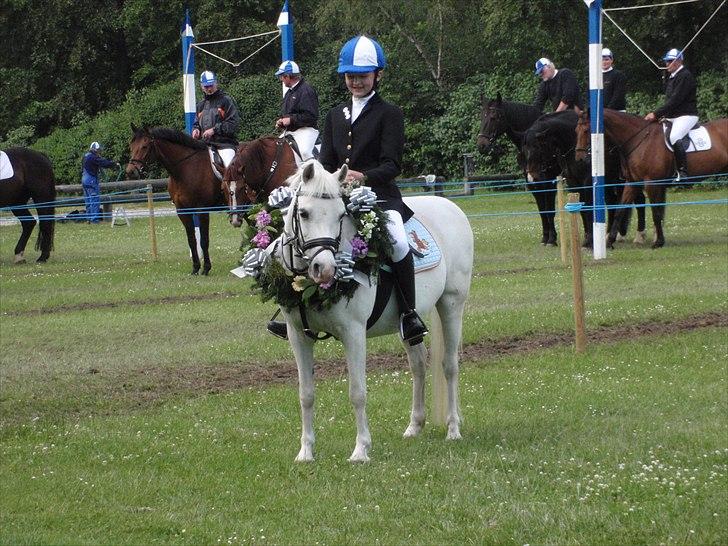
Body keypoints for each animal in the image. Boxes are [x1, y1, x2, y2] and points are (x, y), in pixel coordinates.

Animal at [126, 125, 225, 274]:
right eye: (131, 146)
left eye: (145, 146)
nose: (130, 172)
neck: (185, 169)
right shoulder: (182, 210)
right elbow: (191, 240)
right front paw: (195, 268)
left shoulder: (202, 210)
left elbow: (204, 240)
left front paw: (206, 268)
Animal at [272, 159, 472, 462]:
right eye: (304, 213)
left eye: (341, 215)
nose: (325, 269)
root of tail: (450, 207)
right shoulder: (298, 335)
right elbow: (305, 394)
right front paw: (305, 452)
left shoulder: (353, 333)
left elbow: (357, 392)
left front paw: (361, 450)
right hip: (409, 321)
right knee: (418, 364)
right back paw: (414, 426)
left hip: (451, 305)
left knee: (449, 365)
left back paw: (453, 429)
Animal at [474, 93, 560, 244]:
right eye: (482, 117)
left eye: (494, 117)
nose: (482, 145)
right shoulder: (532, 183)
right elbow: (542, 209)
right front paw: (545, 238)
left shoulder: (549, 183)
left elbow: (550, 210)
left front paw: (552, 239)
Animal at [580, 109, 728, 249]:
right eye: (577, 130)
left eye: (587, 130)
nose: (582, 159)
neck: (639, 139)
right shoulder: (633, 182)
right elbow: (620, 210)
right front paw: (609, 242)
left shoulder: (651, 183)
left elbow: (656, 213)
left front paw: (658, 242)